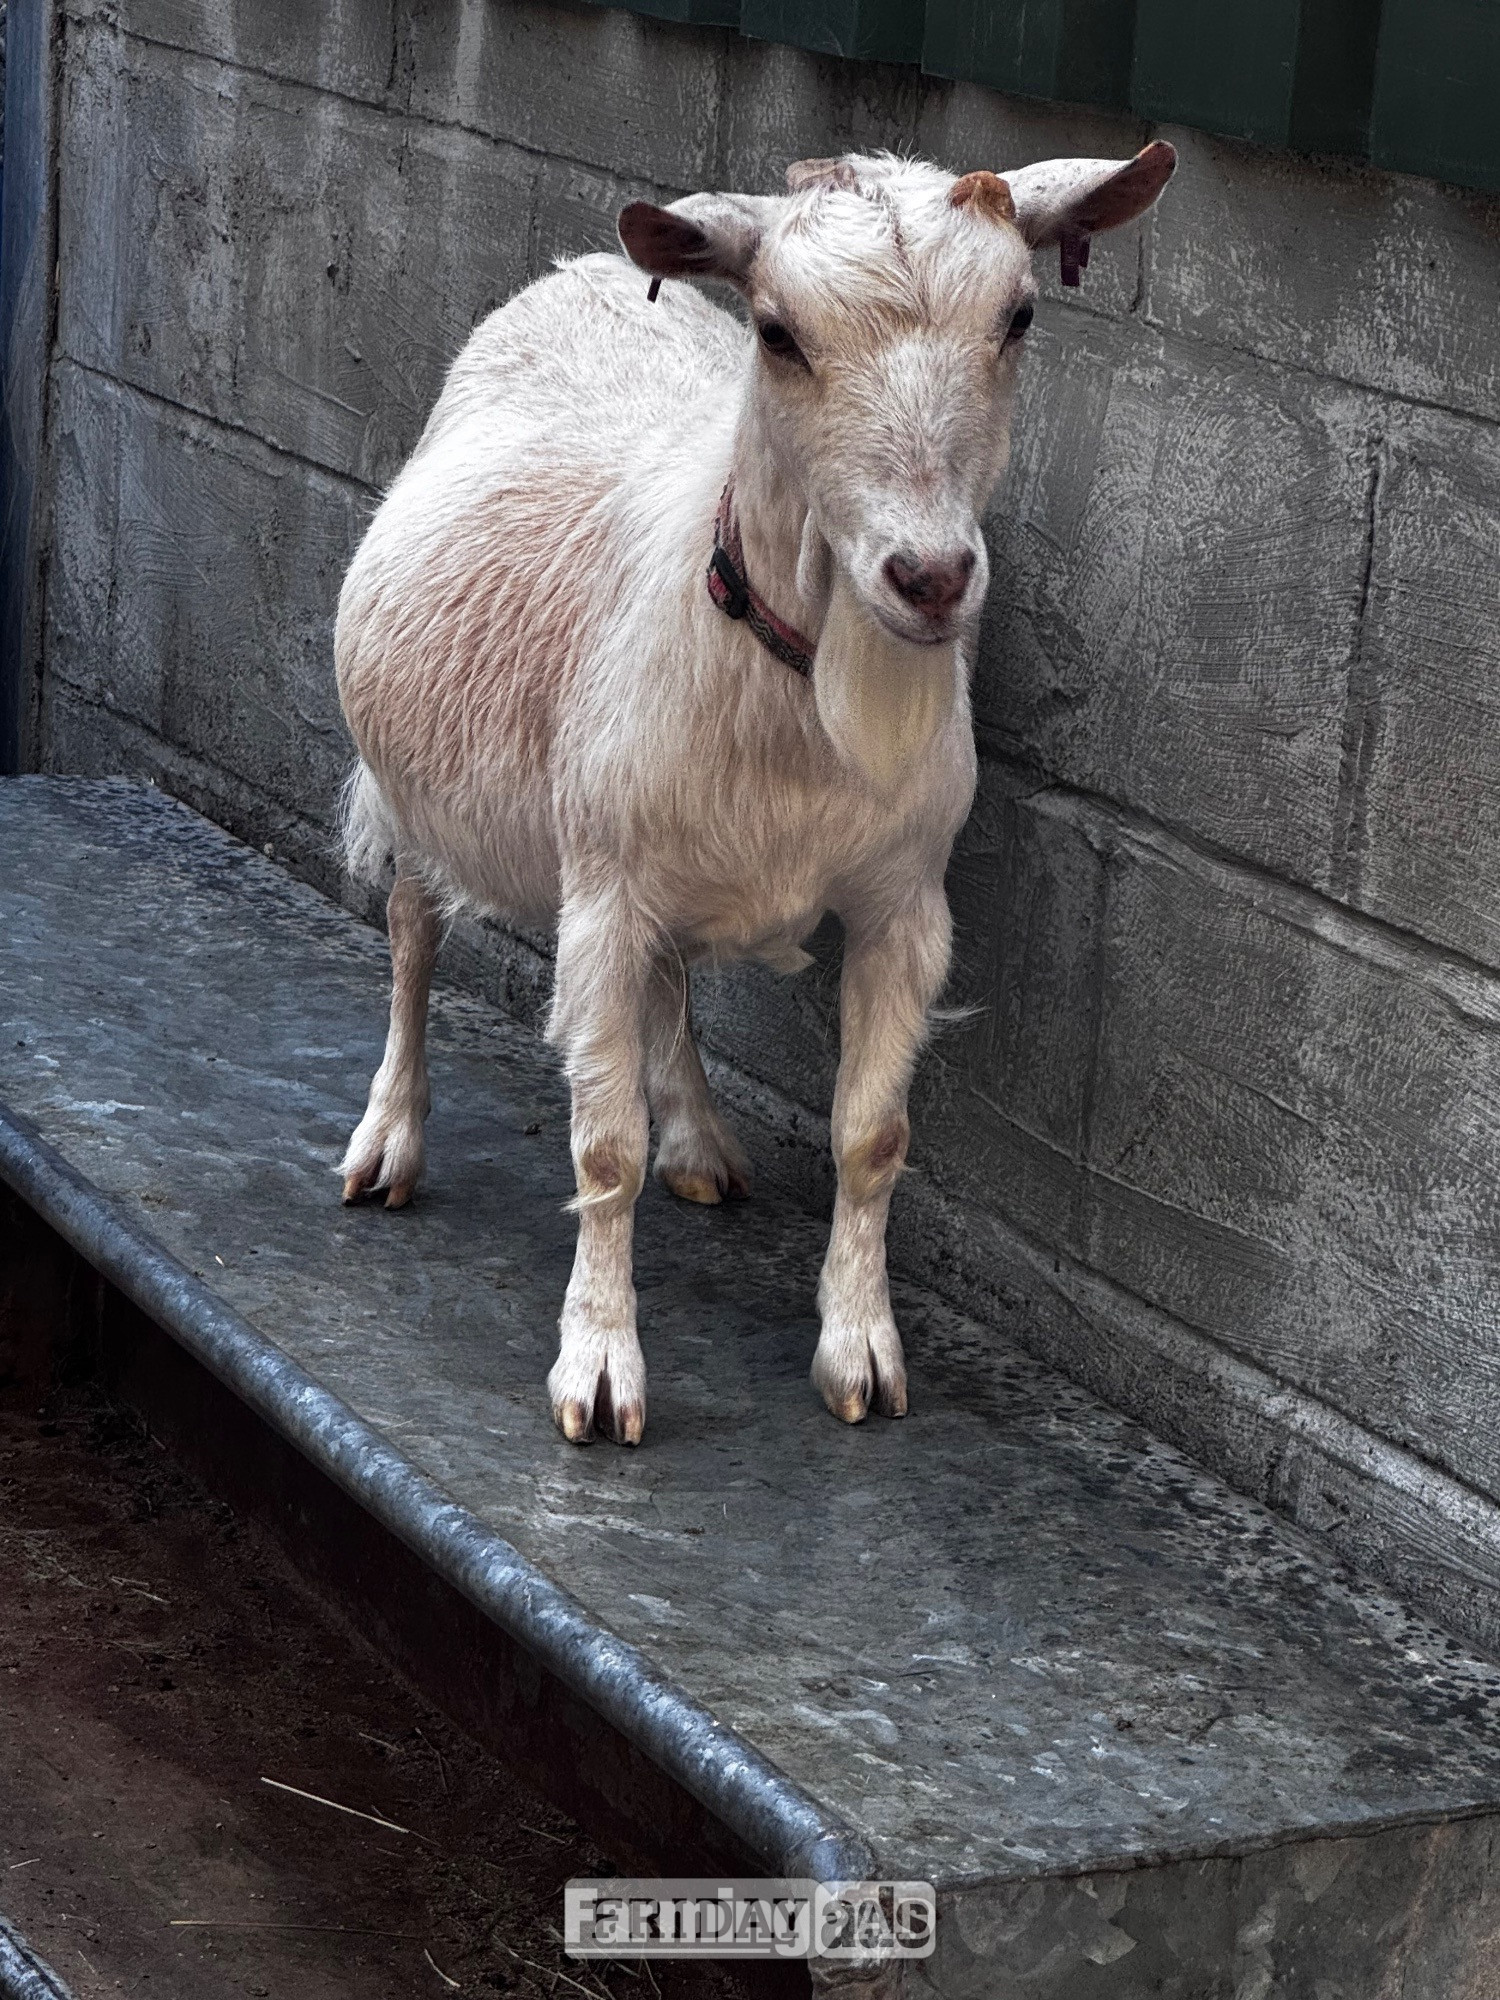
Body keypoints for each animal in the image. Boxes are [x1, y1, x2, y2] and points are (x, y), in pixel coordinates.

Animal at [335, 143, 1176, 1446]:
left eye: (1020, 316)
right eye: (778, 333)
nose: (930, 575)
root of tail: (577, 268)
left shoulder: (906, 904)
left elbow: (872, 1136)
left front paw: (861, 1353)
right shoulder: (601, 891)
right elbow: (603, 1148)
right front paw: (600, 1370)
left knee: (671, 980)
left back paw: (696, 1134)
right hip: (418, 788)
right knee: (413, 938)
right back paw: (387, 1142)